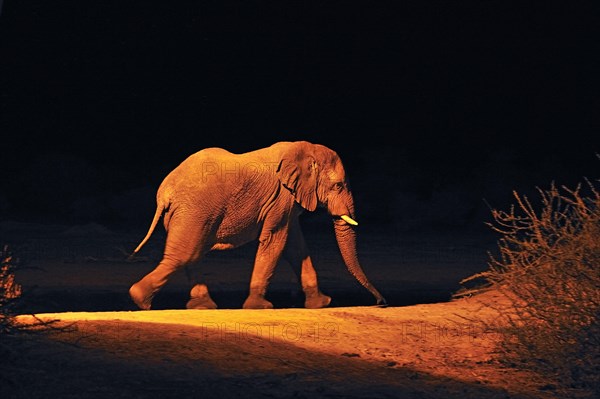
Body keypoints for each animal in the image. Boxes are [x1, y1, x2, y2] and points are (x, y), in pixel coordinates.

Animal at [129, 142, 386, 310]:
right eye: (339, 186)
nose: (380, 302)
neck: (304, 149)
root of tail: (165, 193)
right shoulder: (281, 197)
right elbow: (276, 241)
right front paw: (260, 307)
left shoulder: (287, 202)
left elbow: (296, 247)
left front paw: (322, 304)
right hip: (194, 210)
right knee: (185, 255)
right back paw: (139, 299)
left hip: (189, 214)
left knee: (192, 255)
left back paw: (203, 307)